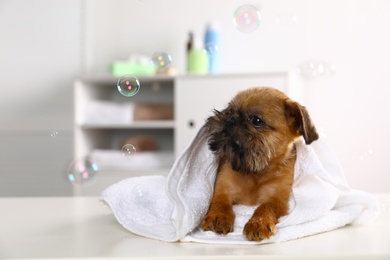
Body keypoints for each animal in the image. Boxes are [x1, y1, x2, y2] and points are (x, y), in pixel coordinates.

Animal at [203, 86, 318, 241]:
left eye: (256, 120)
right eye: (229, 111)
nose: (232, 118)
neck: (256, 172)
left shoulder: (276, 198)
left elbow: (265, 207)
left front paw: (258, 223)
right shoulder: (223, 188)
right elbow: (220, 202)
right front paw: (218, 215)